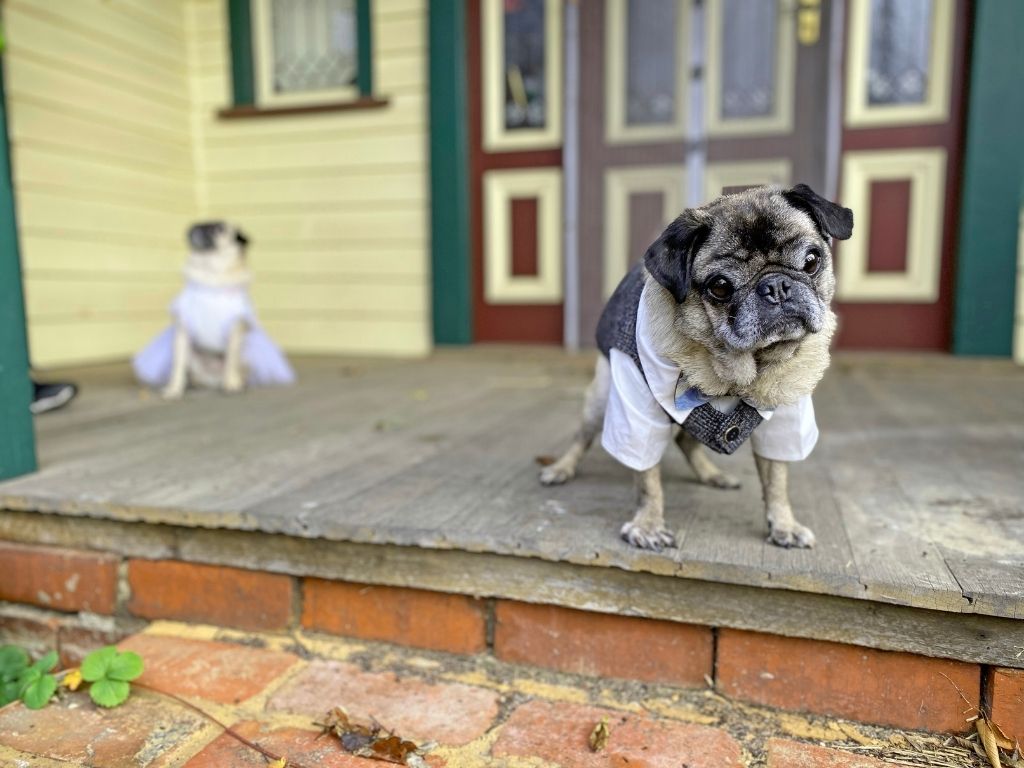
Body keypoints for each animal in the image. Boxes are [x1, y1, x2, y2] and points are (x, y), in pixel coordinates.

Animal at [540, 186, 851, 552]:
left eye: (812, 261)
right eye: (720, 286)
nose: (776, 286)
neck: (737, 369)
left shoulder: (786, 407)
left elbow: (776, 478)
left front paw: (784, 524)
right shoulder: (636, 410)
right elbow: (647, 476)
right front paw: (648, 524)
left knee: (687, 443)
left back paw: (712, 475)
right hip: (601, 397)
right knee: (583, 436)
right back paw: (561, 469)